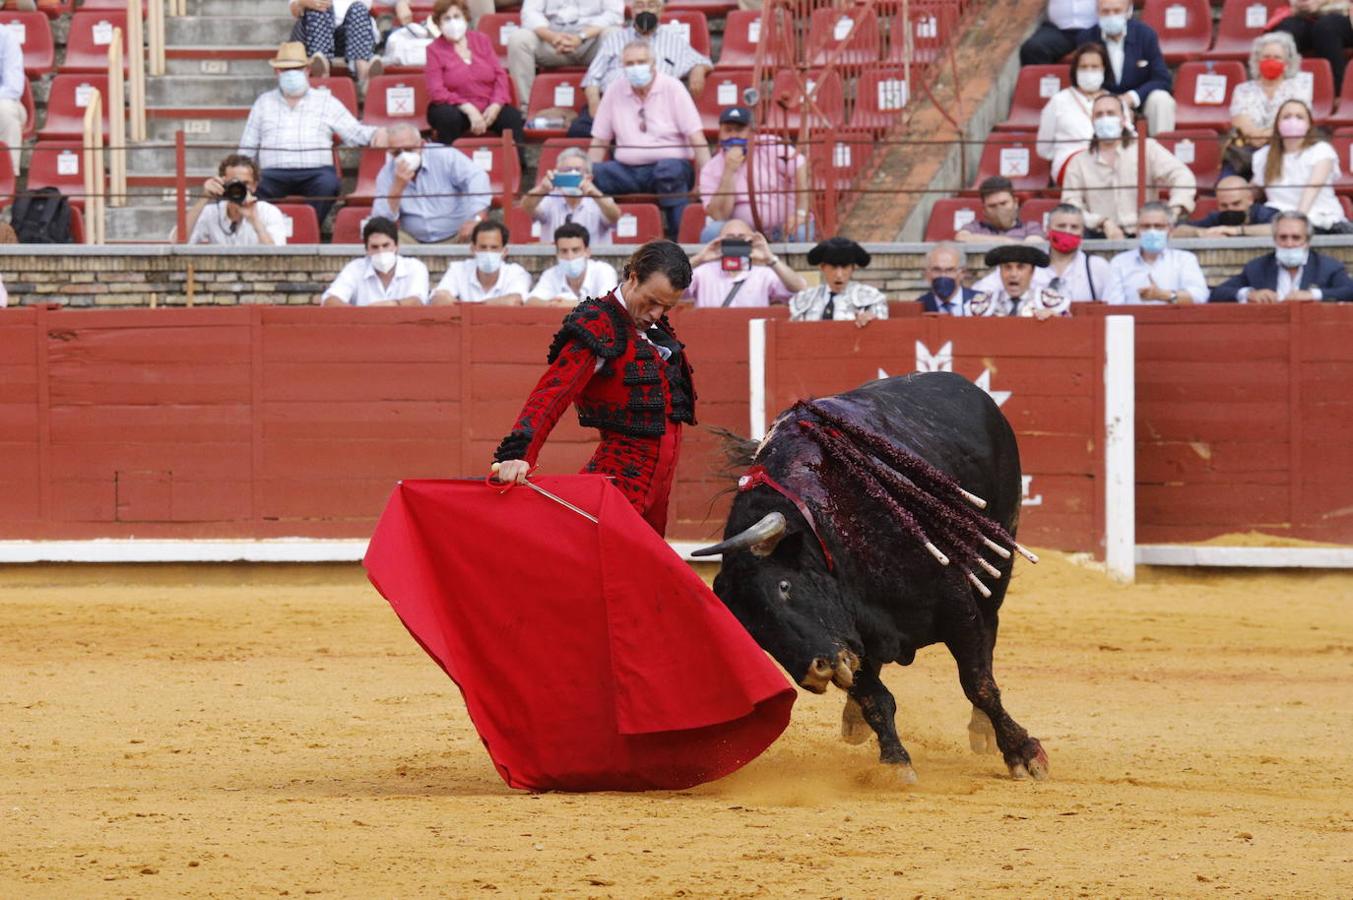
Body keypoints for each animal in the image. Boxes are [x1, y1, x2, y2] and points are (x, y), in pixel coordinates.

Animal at [692, 370, 1049, 779]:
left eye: (784, 586)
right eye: (753, 632)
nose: (815, 672)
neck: (827, 522)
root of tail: (966, 386)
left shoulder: (956, 606)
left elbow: (979, 683)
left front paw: (1024, 753)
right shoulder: (848, 633)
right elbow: (875, 698)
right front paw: (894, 763)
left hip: (996, 564)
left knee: (988, 640)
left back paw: (982, 730)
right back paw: (854, 719)